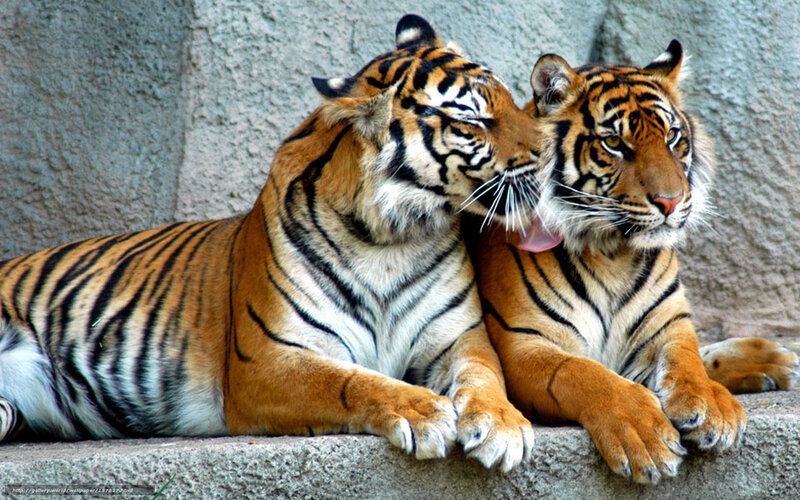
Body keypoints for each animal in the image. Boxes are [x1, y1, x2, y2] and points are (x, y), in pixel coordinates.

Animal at [0, 14, 541, 471]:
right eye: (472, 121)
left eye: (510, 98)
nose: (546, 149)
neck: (391, 237)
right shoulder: (268, 360)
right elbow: (347, 380)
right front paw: (425, 411)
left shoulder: (460, 338)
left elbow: (485, 378)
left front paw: (502, 426)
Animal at [472, 40, 792, 484]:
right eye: (613, 143)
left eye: (673, 137)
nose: (671, 202)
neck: (613, 254)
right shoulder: (523, 345)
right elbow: (585, 374)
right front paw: (645, 433)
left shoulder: (668, 322)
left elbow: (689, 358)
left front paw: (710, 404)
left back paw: (773, 359)